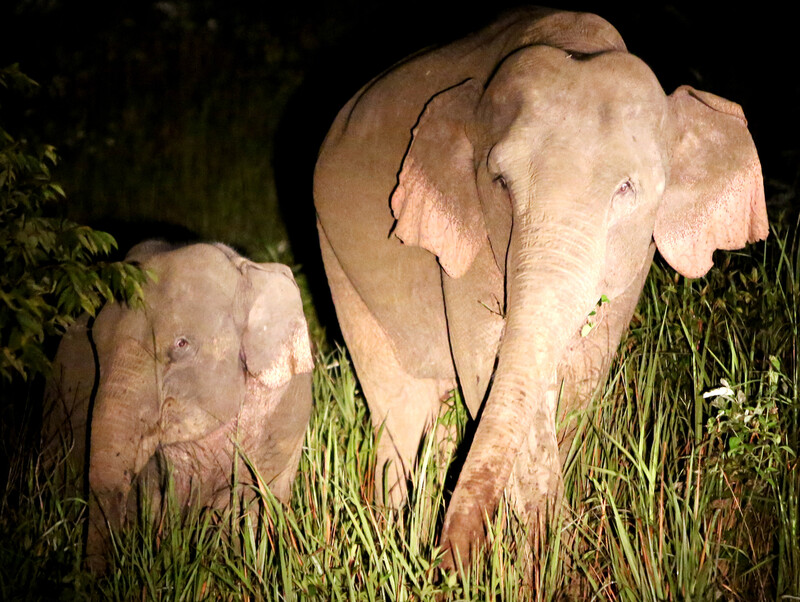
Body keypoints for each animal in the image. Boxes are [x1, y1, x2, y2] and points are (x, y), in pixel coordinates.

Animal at [310, 7, 764, 564]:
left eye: (626, 188)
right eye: (500, 183)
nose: (447, 559)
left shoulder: (634, 263)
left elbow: (579, 377)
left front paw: (546, 558)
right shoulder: (471, 243)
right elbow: (486, 371)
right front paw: (534, 558)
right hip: (334, 251)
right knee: (398, 402)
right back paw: (395, 528)